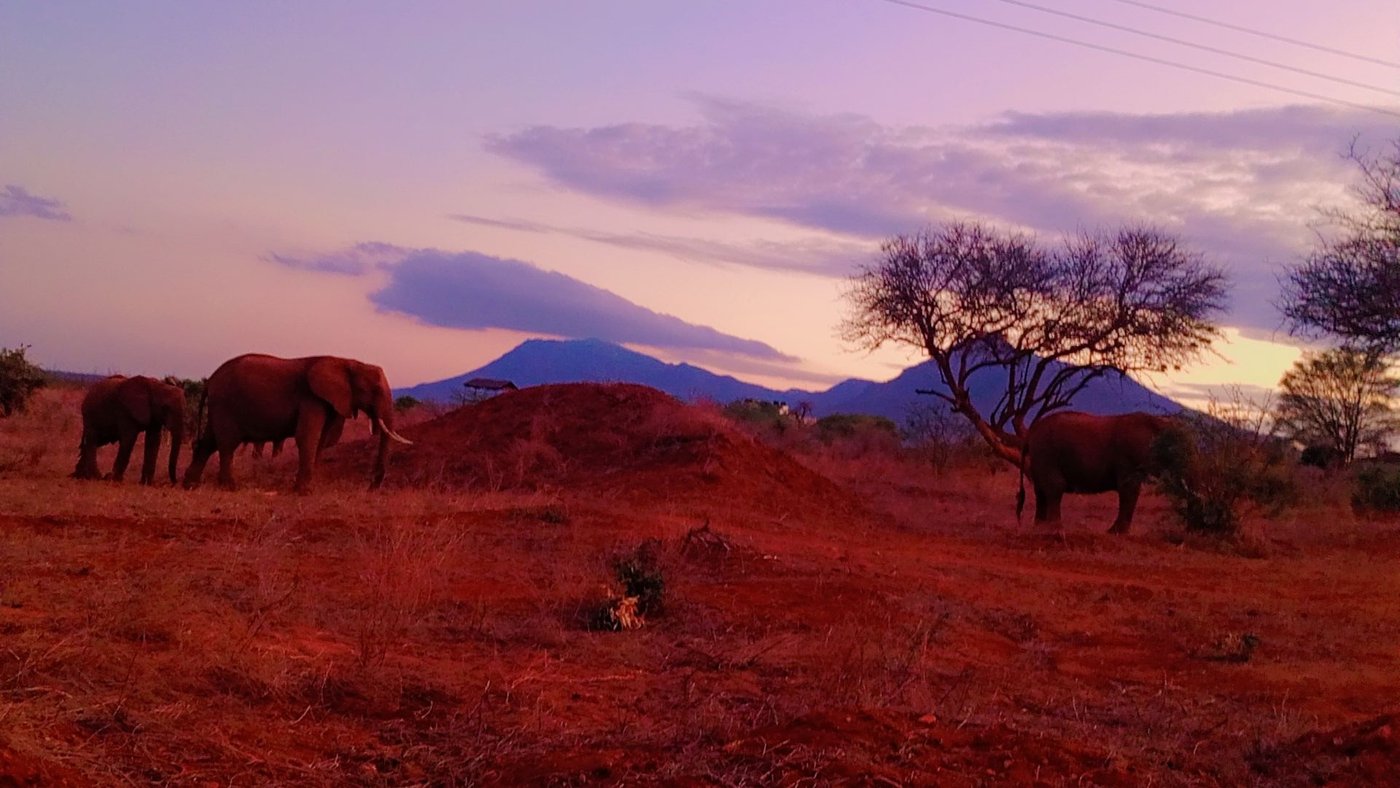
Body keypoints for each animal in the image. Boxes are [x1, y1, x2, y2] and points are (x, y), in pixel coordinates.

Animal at [182, 354, 411, 492]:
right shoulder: (311, 398)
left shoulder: (330, 402)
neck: (346, 362)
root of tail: (210, 380)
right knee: (227, 444)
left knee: (208, 442)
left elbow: (322, 440)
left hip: (219, 407)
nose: (372, 487)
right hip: (225, 403)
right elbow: (307, 437)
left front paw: (310, 485)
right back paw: (230, 487)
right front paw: (303, 491)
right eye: (374, 390)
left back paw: (190, 485)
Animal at [1016, 411, 1175, 534]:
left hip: (1040, 457)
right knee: (1054, 488)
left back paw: (1040, 528)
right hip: (1047, 453)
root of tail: (1030, 434)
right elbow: (1128, 489)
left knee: (1041, 491)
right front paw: (1116, 533)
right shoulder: (1129, 457)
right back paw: (1055, 529)